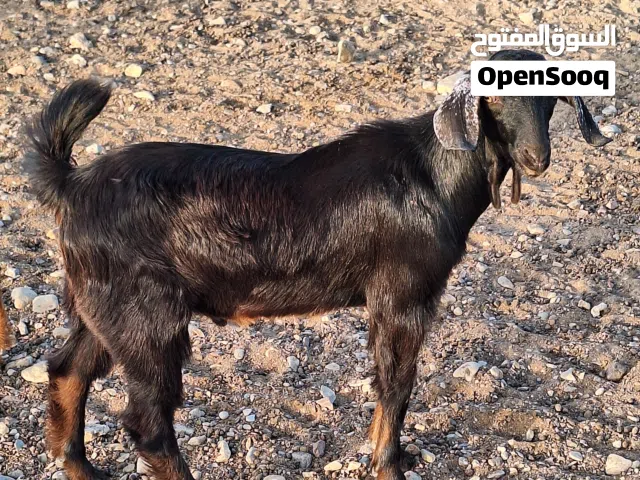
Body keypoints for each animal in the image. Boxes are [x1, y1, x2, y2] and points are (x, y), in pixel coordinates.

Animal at [25, 49, 609, 480]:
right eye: (496, 95)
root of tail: (71, 186)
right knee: (148, 424)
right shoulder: (404, 295)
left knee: (68, 370)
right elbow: (397, 384)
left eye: (551, 97)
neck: (433, 174)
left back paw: (82, 469)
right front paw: (388, 466)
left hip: (101, 307)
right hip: (148, 316)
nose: (537, 158)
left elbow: (386, 383)